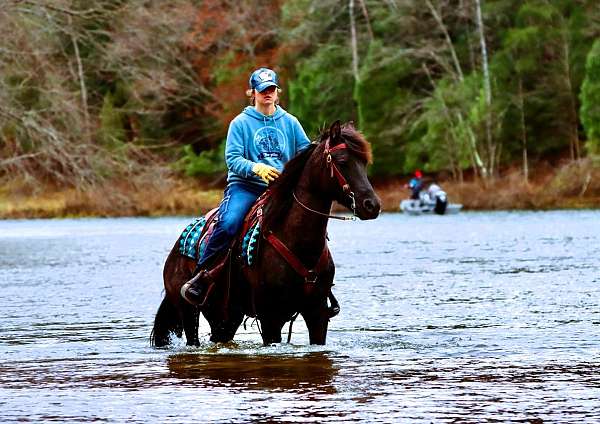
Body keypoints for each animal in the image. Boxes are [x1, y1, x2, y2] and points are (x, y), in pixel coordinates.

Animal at [150, 121, 380, 346]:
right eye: (342, 161)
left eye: (364, 162)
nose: (372, 205)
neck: (298, 242)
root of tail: (176, 249)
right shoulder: (270, 318)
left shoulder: (317, 314)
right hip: (189, 311)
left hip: (225, 316)